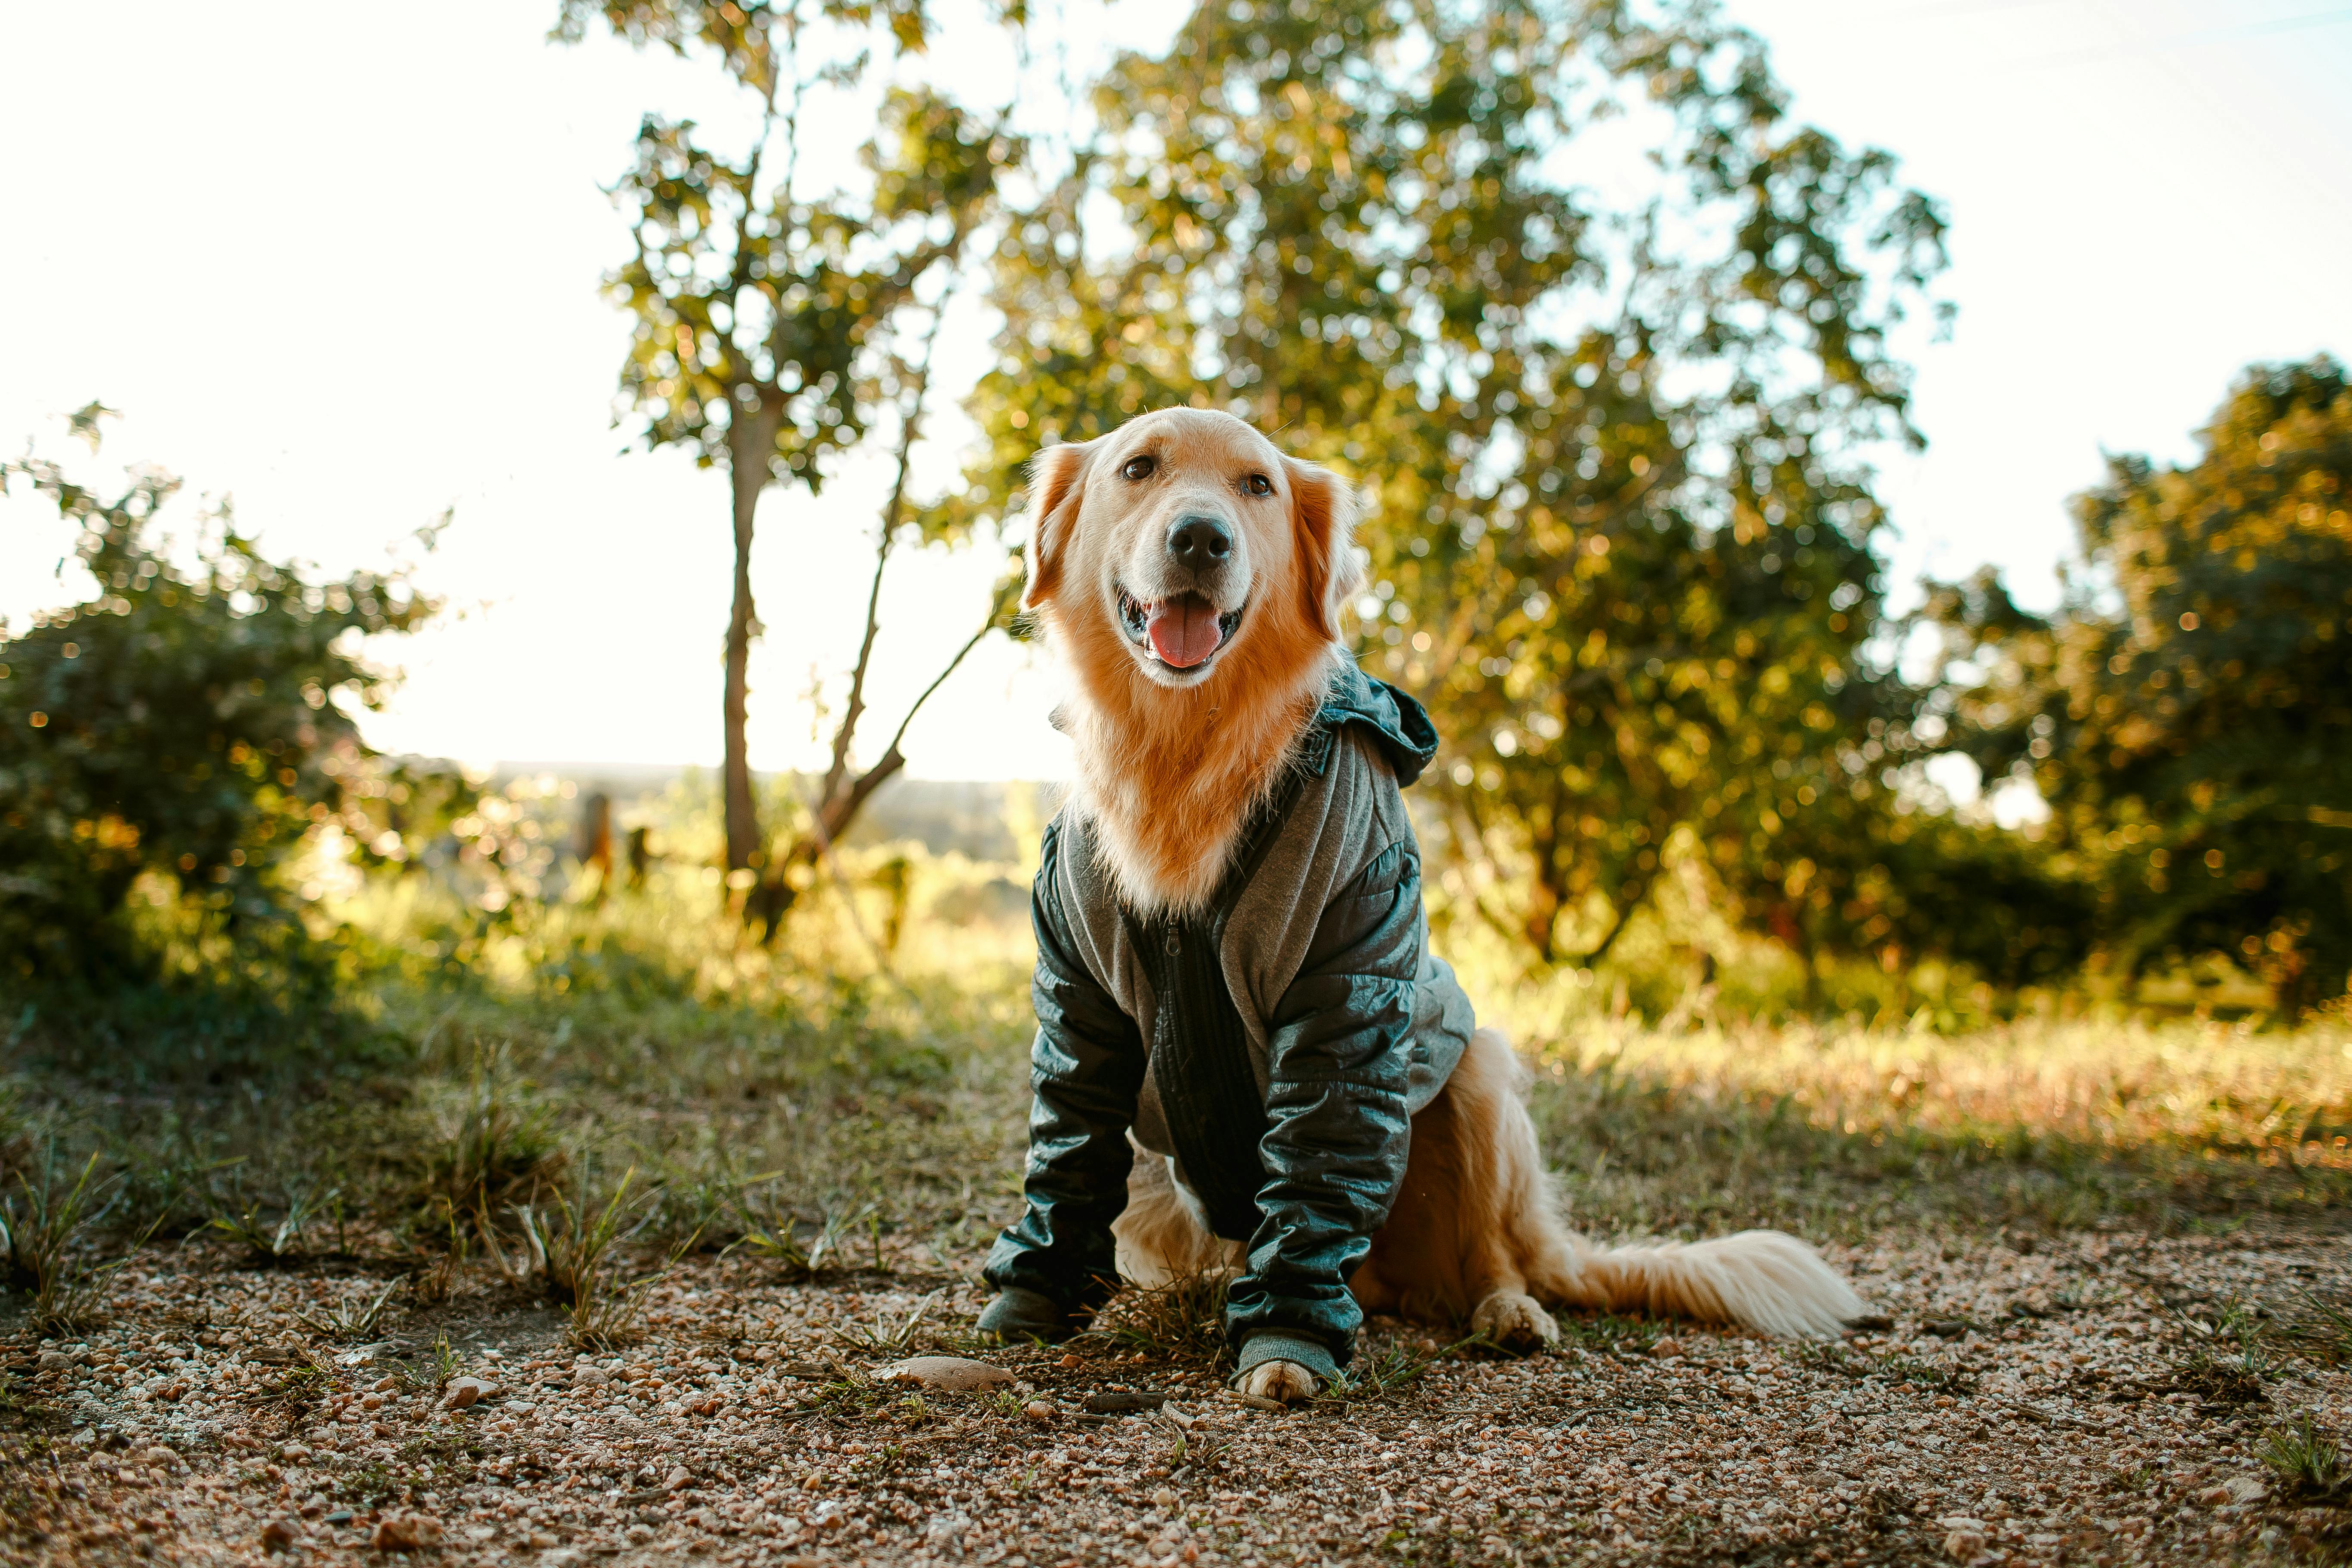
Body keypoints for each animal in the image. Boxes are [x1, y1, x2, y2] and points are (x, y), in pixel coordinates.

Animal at [974, 409, 1853, 1410]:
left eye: (1257, 486)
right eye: (1138, 469)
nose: (1200, 538)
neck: (1187, 752)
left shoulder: (1347, 978)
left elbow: (1316, 1168)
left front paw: (1286, 1341)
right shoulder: (1078, 999)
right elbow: (1068, 1147)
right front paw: (1034, 1297)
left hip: (1478, 1075)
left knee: (1489, 1258)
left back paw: (1508, 1312)